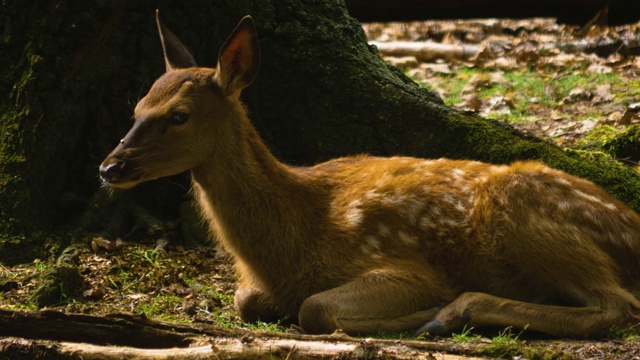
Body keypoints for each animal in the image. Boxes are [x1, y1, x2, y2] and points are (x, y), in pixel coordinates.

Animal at [99, 11, 640, 338]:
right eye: (136, 107)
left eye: (179, 116)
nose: (109, 166)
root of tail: (631, 226)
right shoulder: (257, 286)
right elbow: (245, 299)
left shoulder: (397, 263)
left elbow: (314, 308)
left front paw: (427, 310)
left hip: (526, 215)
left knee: (617, 304)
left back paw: (453, 312)